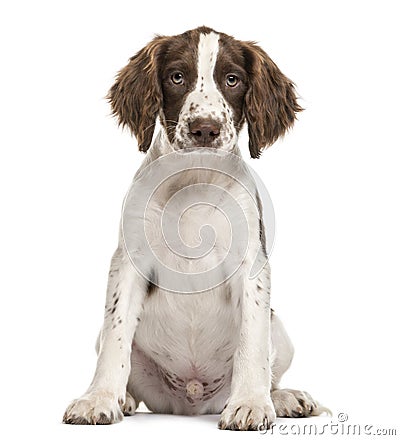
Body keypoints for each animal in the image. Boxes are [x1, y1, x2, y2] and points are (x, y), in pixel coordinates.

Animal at [62, 24, 326, 430]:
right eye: (176, 77)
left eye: (232, 80)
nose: (205, 129)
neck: (194, 177)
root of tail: (191, 400)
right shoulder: (128, 261)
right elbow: (116, 335)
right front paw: (99, 398)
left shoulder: (251, 265)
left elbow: (252, 343)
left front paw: (250, 404)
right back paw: (124, 398)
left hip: (281, 333)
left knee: (269, 366)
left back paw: (283, 398)